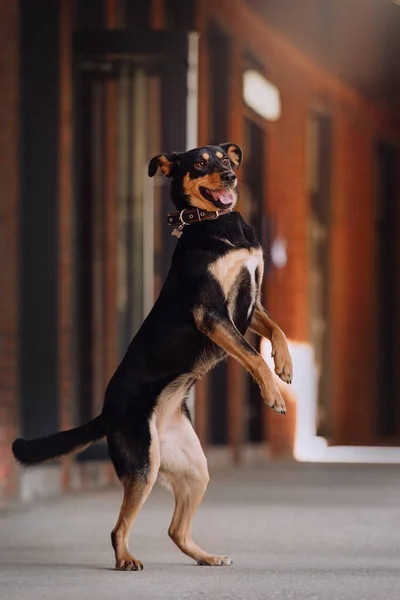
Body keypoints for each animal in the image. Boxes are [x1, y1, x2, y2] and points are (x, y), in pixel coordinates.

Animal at [11, 144, 294, 572]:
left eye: (226, 160)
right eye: (200, 164)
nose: (230, 176)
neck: (215, 224)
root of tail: (106, 412)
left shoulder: (251, 305)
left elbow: (277, 331)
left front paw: (285, 366)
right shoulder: (212, 314)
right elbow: (251, 356)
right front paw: (273, 394)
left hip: (193, 468)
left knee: (175, 530)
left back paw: (206, 557)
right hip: (143, 464)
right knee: (118, 529)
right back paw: (126, 558)